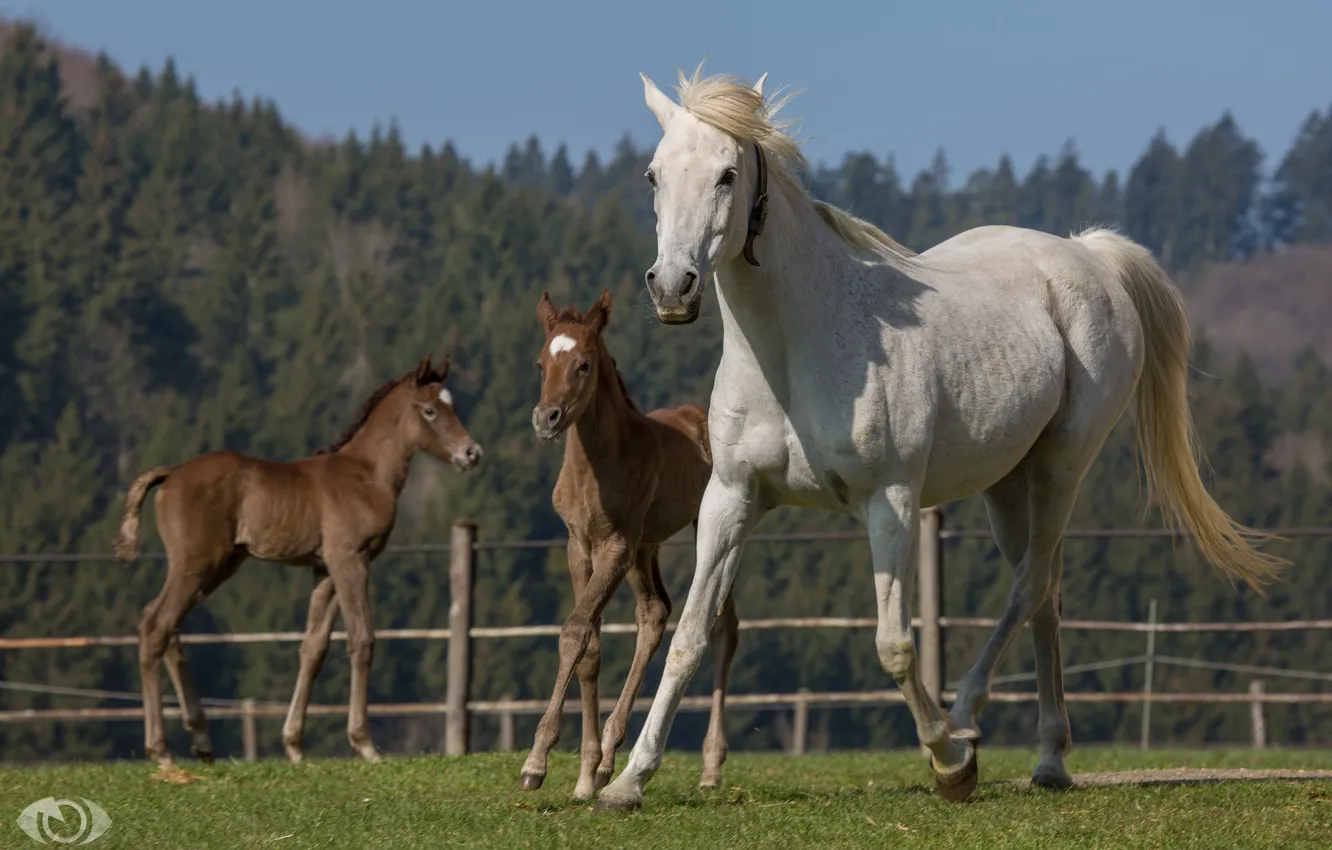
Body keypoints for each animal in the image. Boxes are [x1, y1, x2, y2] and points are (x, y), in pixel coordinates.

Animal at [113, 354, 483, 770]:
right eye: (431, 410)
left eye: (454, 405)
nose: (471, 453)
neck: (366, 474)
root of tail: (172, 473)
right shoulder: (350, 559)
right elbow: (362, 639)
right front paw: (365, 744)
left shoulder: (325, 569)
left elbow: (313, 649)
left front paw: (293, 745)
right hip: (198, 562)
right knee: (156, 626)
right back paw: (162, 752)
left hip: (219, 565)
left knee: (162, 622)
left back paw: (201, 739)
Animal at [520, 289, 737, 800]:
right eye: (540, 363)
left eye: (583, 364)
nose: (546, 418)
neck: (599, 465)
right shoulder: (579, 547)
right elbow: (589, 646)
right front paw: (584, 772)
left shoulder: (615, 548)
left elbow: (574, 631)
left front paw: (536, 762)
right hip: (646, 548)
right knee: (654, 613)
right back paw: (605, 762)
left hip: (702, 528)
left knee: (723, 627)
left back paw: (710, 767)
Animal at [593, 66, 1287, 811]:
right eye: (653, 174)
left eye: (727, 174)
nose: (672, 287)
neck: (795, 347)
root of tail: (1087, 254)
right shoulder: (731, 501)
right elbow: (690, 636)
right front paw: (627, 782)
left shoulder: (890, 503)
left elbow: (894, 645)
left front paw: (950, 765)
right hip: (1007, 485)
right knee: (1045, 595)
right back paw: (1049, 759)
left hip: (1062, 465)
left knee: (1028, 587)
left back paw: (967, 721)